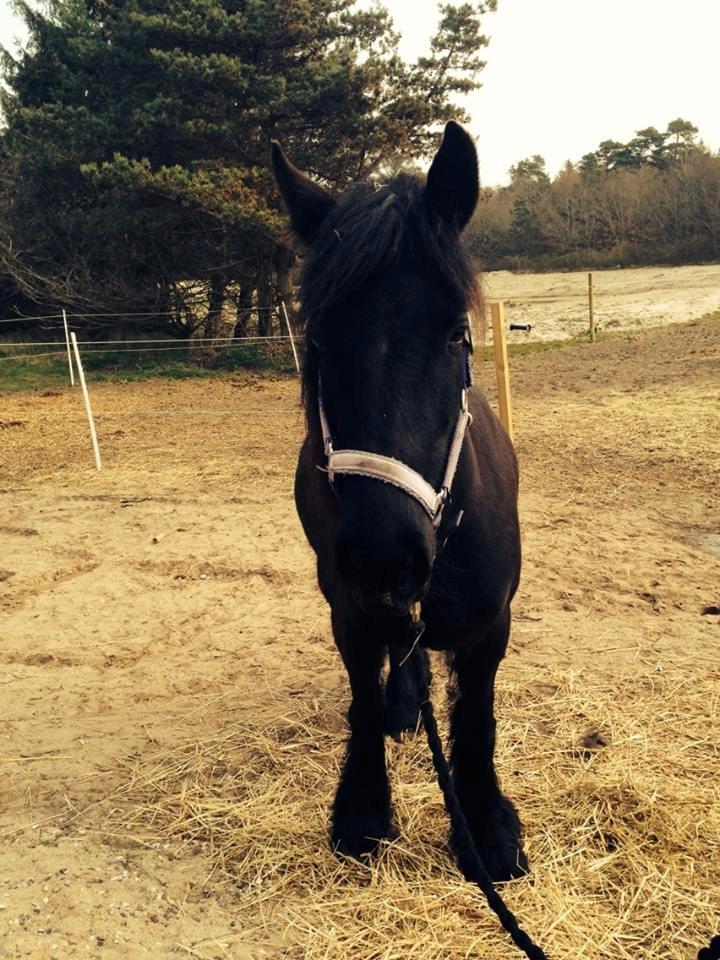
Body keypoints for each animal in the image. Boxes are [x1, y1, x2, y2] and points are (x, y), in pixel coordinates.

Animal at [271, 121, 527, 885]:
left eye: (457, 334)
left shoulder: (489, 627)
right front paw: (362, 811)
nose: (384, 554)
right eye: (320, 339)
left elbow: (476, 721)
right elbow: (361, 700)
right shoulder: (350, 610)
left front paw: (486, 827)